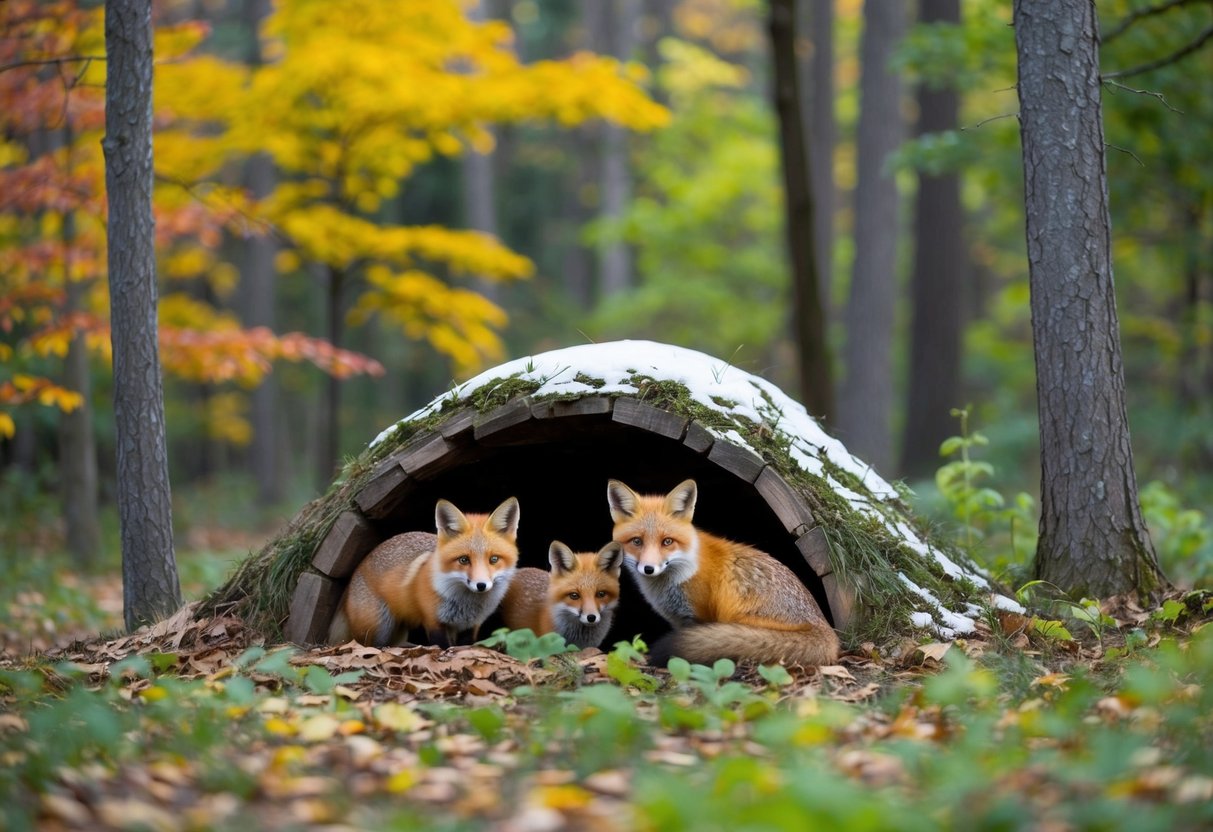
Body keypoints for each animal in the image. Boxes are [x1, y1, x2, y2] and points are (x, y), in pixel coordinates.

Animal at [327, 496, 520, 648]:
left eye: (493, 559)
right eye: (464, 560)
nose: (481, 585)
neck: (466, 604)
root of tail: (356, 570)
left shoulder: (471, 625)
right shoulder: (433, 620)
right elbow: (443, 647)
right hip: (378, 626)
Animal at [607, 478, 840, 667]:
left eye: (667, 542)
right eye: (637, 541)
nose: (649, 569)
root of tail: (825, 626)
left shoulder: (697, 616)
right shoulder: (679, 620)